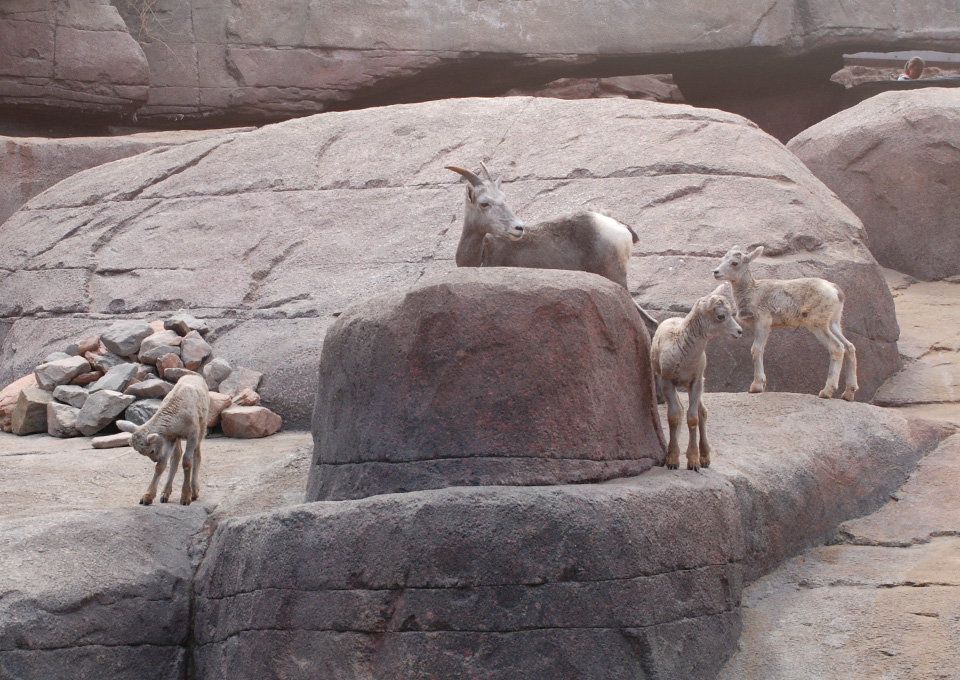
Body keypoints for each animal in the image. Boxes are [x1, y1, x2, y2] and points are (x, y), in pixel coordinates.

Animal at [117, 372, 209, 504]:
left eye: (151, 451)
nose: (154, 459)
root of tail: (194, 375)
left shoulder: (192, 435)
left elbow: (187, 462)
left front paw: (186, 497)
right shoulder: (171, 437)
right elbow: (161, 465)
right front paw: (147, 498)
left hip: (202, 426)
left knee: (197, 454)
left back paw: (195, 492)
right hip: (177, 438)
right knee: (176, 456)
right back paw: (165, 494)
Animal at [448, 162, 660, 326]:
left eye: (505, 199)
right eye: (484, 203)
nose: (518, 228)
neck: (482, 255)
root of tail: (620, 227)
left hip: (616, 280)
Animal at [652, 292, 744, 472]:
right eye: (721, 316)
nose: (739, 332)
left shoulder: (695, 382)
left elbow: (693, 418)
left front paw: (693, 462)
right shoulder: (668, 383)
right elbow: (674, 416)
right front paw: (672, 460)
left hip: (697, 386)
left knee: (702, 412)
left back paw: (705, 458)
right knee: (682, 410)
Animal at [708, 247, 860, 402]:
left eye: (734, 262)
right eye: (722, 259)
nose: (716, 272)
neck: (753, 292)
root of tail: (836, 291)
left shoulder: (763, 321)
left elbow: (756, 349)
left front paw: (756, 387)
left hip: (817, 324)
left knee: (837, 348)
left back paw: (826, 392)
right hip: (833, 323)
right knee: (849, 346)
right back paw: (848, 394)